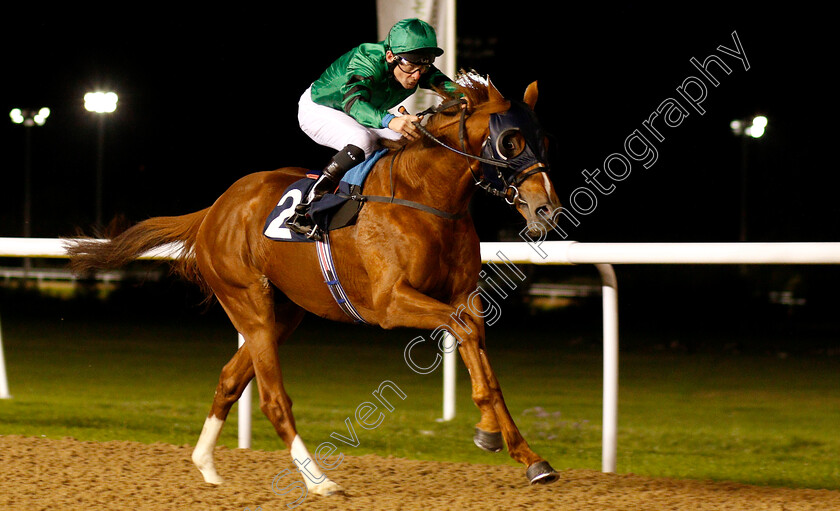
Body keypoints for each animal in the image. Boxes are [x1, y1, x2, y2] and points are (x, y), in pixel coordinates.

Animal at [65, 74, 560, 498]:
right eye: (510, 141)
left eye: (543, 140)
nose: (547, 210)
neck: (426, 197)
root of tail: (216, 208)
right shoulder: (390, 303)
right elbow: (462, 331)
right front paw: (490, 433)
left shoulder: (465, 296)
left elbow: (479, 351)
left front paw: (526, 455)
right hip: (249, 303)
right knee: (272, 399)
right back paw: (318, 480)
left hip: (284, 314)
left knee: (230, 379)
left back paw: (206, 464)